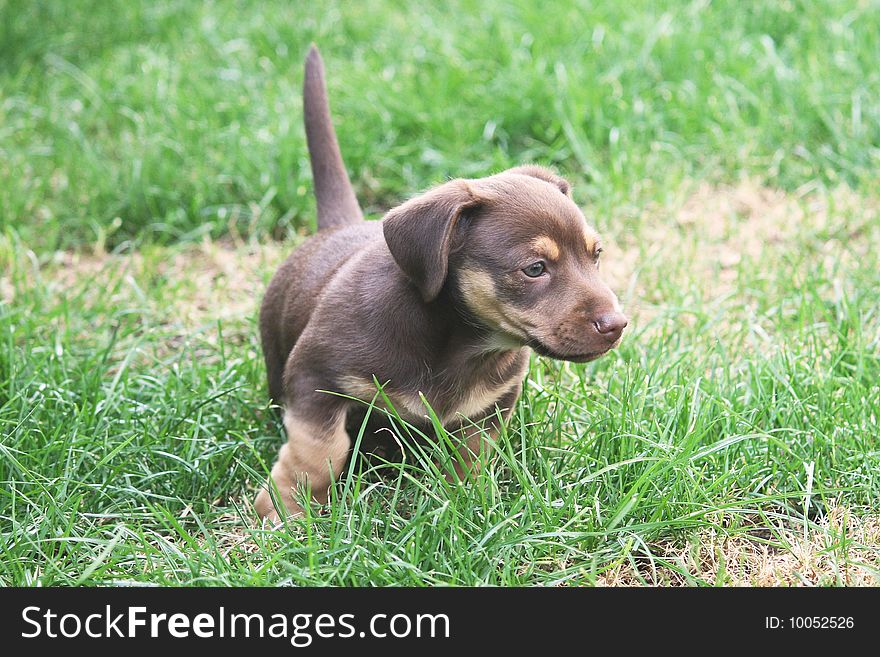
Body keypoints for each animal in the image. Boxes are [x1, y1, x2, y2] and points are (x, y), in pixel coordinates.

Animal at [254, 44, 624, 524]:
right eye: (535, 269)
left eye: (596, 255)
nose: (617, 325)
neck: (458, 344)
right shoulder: (313, 377)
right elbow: (319, 451)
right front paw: (285, 508)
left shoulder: (491, 406)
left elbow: (470, 458)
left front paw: (463, 501)